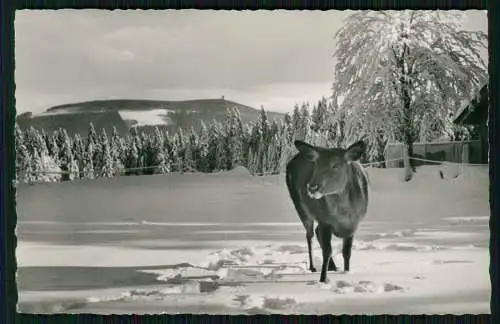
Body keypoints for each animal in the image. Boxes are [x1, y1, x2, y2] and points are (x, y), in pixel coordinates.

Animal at [286, 140, 368, 282]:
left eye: (336, 165)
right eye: (316, 164)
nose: (312, 187)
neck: (344, 215)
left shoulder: (354, 224)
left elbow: (347, 252)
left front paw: (346, 272)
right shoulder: (324, 219)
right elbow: (327, 251)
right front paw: (323, 279)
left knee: (316, 232)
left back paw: (333, 267)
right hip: (301, 207)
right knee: (310, 235)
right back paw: (313, 267)